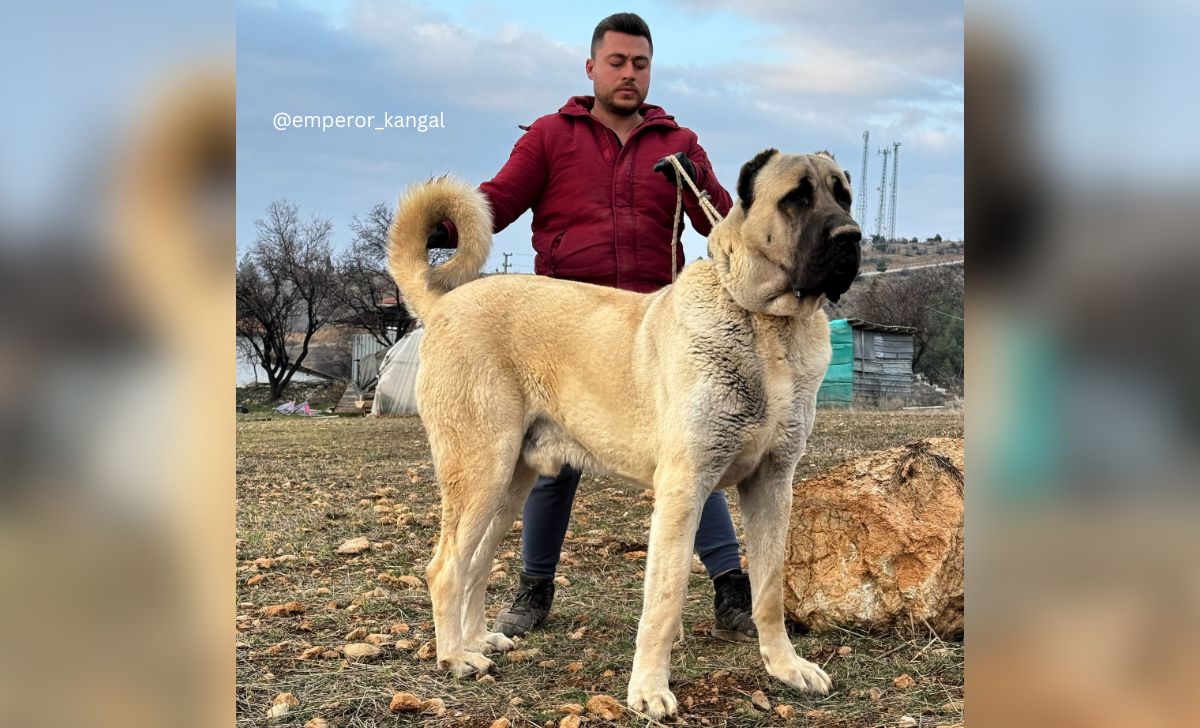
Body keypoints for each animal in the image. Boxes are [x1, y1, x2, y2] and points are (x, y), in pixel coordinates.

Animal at [388, 148, 859, 719]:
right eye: (796, 198)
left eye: (843, 197)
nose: (852, 237)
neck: (765, 325)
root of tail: (442, 305)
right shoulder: (684, 487)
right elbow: (665, 598)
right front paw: (649, 690)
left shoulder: (771, 485)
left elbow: (769, 591)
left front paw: (785, 667)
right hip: (481, 471)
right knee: (445, 568)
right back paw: (456, 657)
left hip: (508, 486)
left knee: (475, 564)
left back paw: (477, 640)